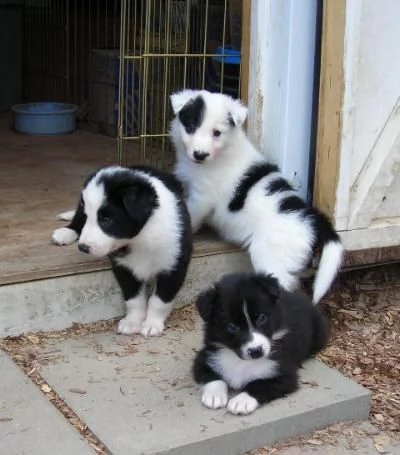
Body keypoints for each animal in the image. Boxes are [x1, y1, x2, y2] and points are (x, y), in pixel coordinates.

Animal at [51, 166, 192, 336]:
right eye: (88, 217)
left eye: (106, 220)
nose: (83, 247)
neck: (140, 237)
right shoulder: (123, 267)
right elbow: (133, 299)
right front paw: (132, 322)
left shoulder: (174, 266)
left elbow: (159, 301)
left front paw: (151, 324)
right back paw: (65, 233)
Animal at [170, 88, 344, 302]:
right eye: (191, 126)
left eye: (217, 133)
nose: (200, 155)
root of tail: (310, 215)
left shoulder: (201, 198)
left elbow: (191, 216)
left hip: (269, 255)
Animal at [193, 274, 328, 416]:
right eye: (231, 326)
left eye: (261, 317)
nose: (256, 351)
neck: (241, 362)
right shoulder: (204, 358)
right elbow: (212, 376)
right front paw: (214, 396)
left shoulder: (284, 375)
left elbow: (260, 384)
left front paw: (241, 401)